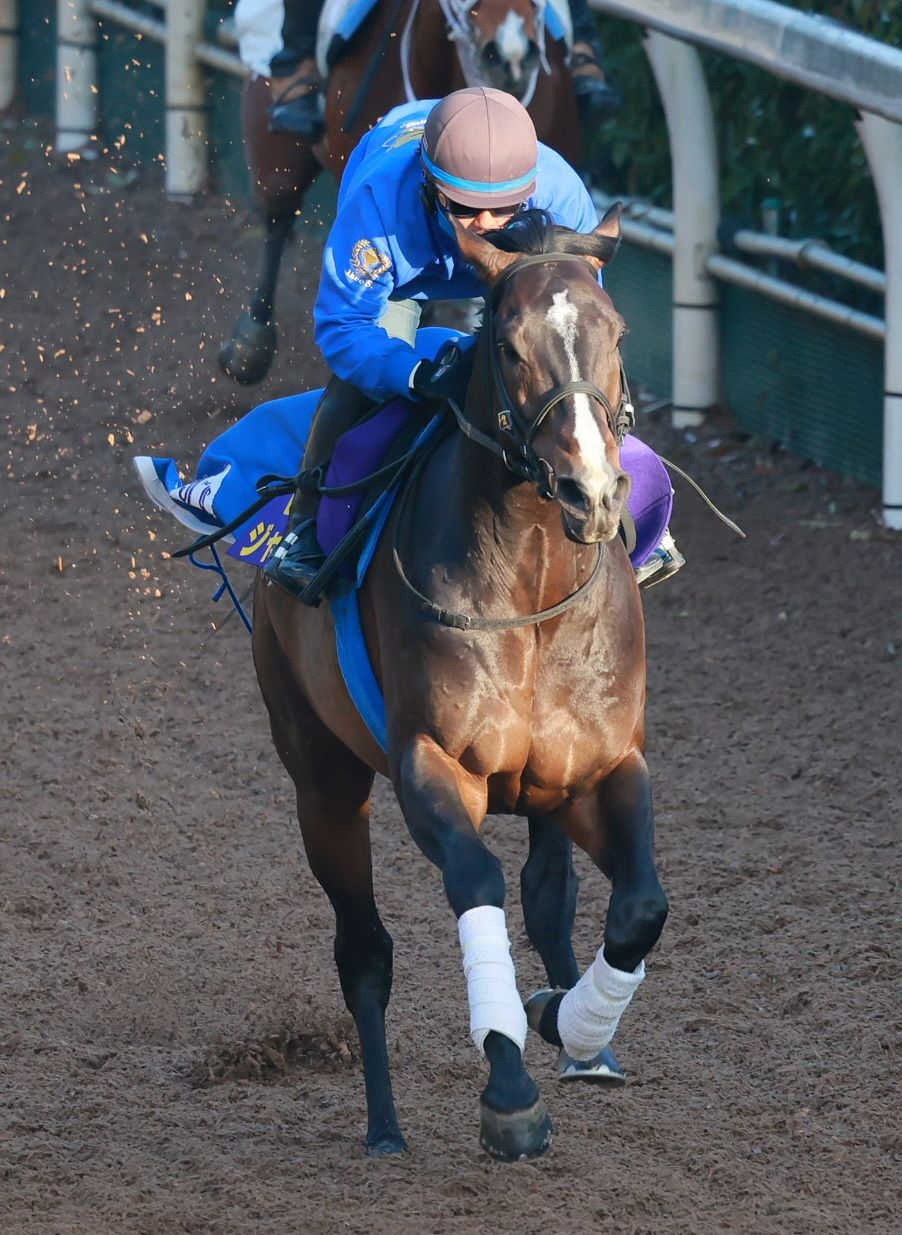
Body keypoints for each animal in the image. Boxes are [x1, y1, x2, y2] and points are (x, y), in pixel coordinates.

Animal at [249, 207, 662, 1160]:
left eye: (618, 333)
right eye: (508, 345)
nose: (590, 491)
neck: (535, 596)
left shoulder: (603, 766)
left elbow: (639, 907)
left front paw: (571, 1023)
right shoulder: (433, 763)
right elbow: (474, 884)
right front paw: (510, 1090)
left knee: (550, 895)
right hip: (321, 777)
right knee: (364, 950)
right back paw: (384, 1126)